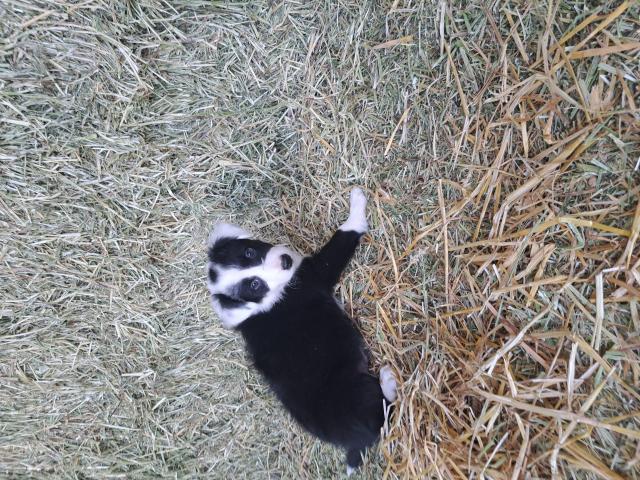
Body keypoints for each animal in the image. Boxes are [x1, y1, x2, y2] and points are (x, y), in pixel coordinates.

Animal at [206, 188, 396, 472]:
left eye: (249, 252)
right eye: (254, 285)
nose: (285, 261)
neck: (273, 295)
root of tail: (355, 444)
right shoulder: (317, 270)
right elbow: (345, 234)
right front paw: (356, 202)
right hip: (360, 392)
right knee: (386, 412)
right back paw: (388, 379)